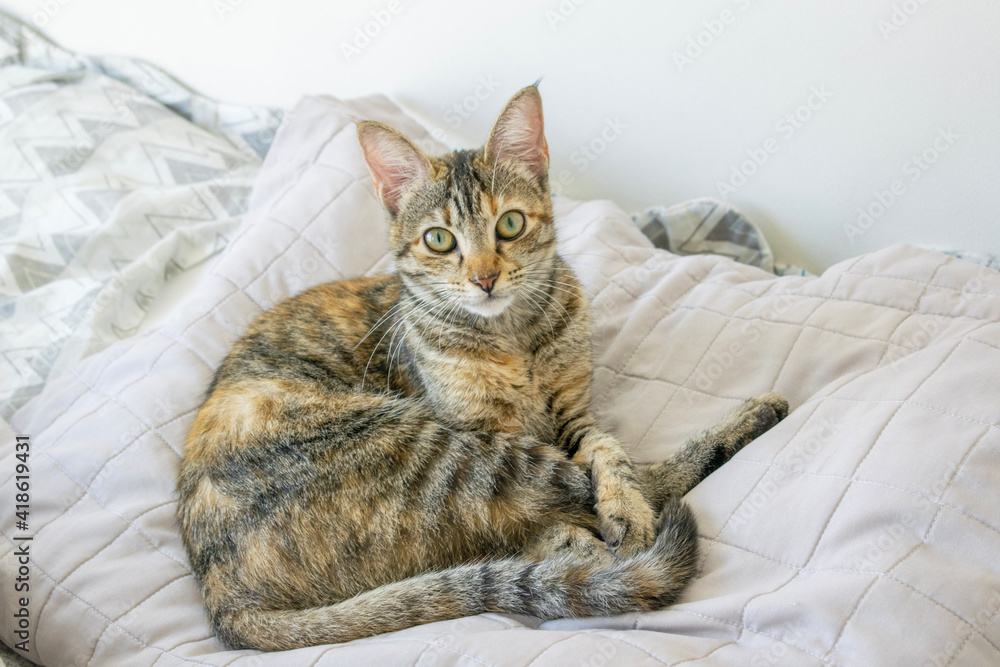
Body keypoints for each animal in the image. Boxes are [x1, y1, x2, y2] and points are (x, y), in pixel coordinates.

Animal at [178, 85, 788, 652]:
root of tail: (222, 596)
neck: (513, 339)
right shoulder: (484, 426)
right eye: (439, 239)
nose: (484, 277)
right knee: (569, 500)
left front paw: (623, 507)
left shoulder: (573, 411)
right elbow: (601, 474)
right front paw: (606, 528)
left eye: (510, 224)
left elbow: (608, 451)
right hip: (438, 446)